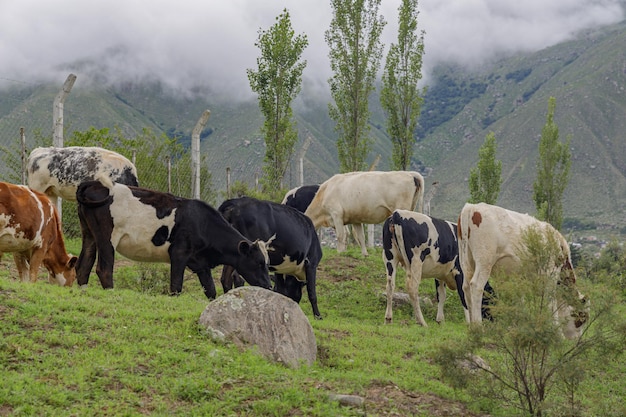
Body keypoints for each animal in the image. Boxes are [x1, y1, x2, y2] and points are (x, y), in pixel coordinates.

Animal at [456, 203, 588, 340]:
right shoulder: (550, 271)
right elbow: (550, 300)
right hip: (484, 261)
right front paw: (558, 334)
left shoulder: (518, 276)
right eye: (582, 318)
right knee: (476, 286)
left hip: (466, 261)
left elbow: (520, 298)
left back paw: (471, 327)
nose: (578, 339)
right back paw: (478, 327)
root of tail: (471, 207)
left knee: (466, 288)